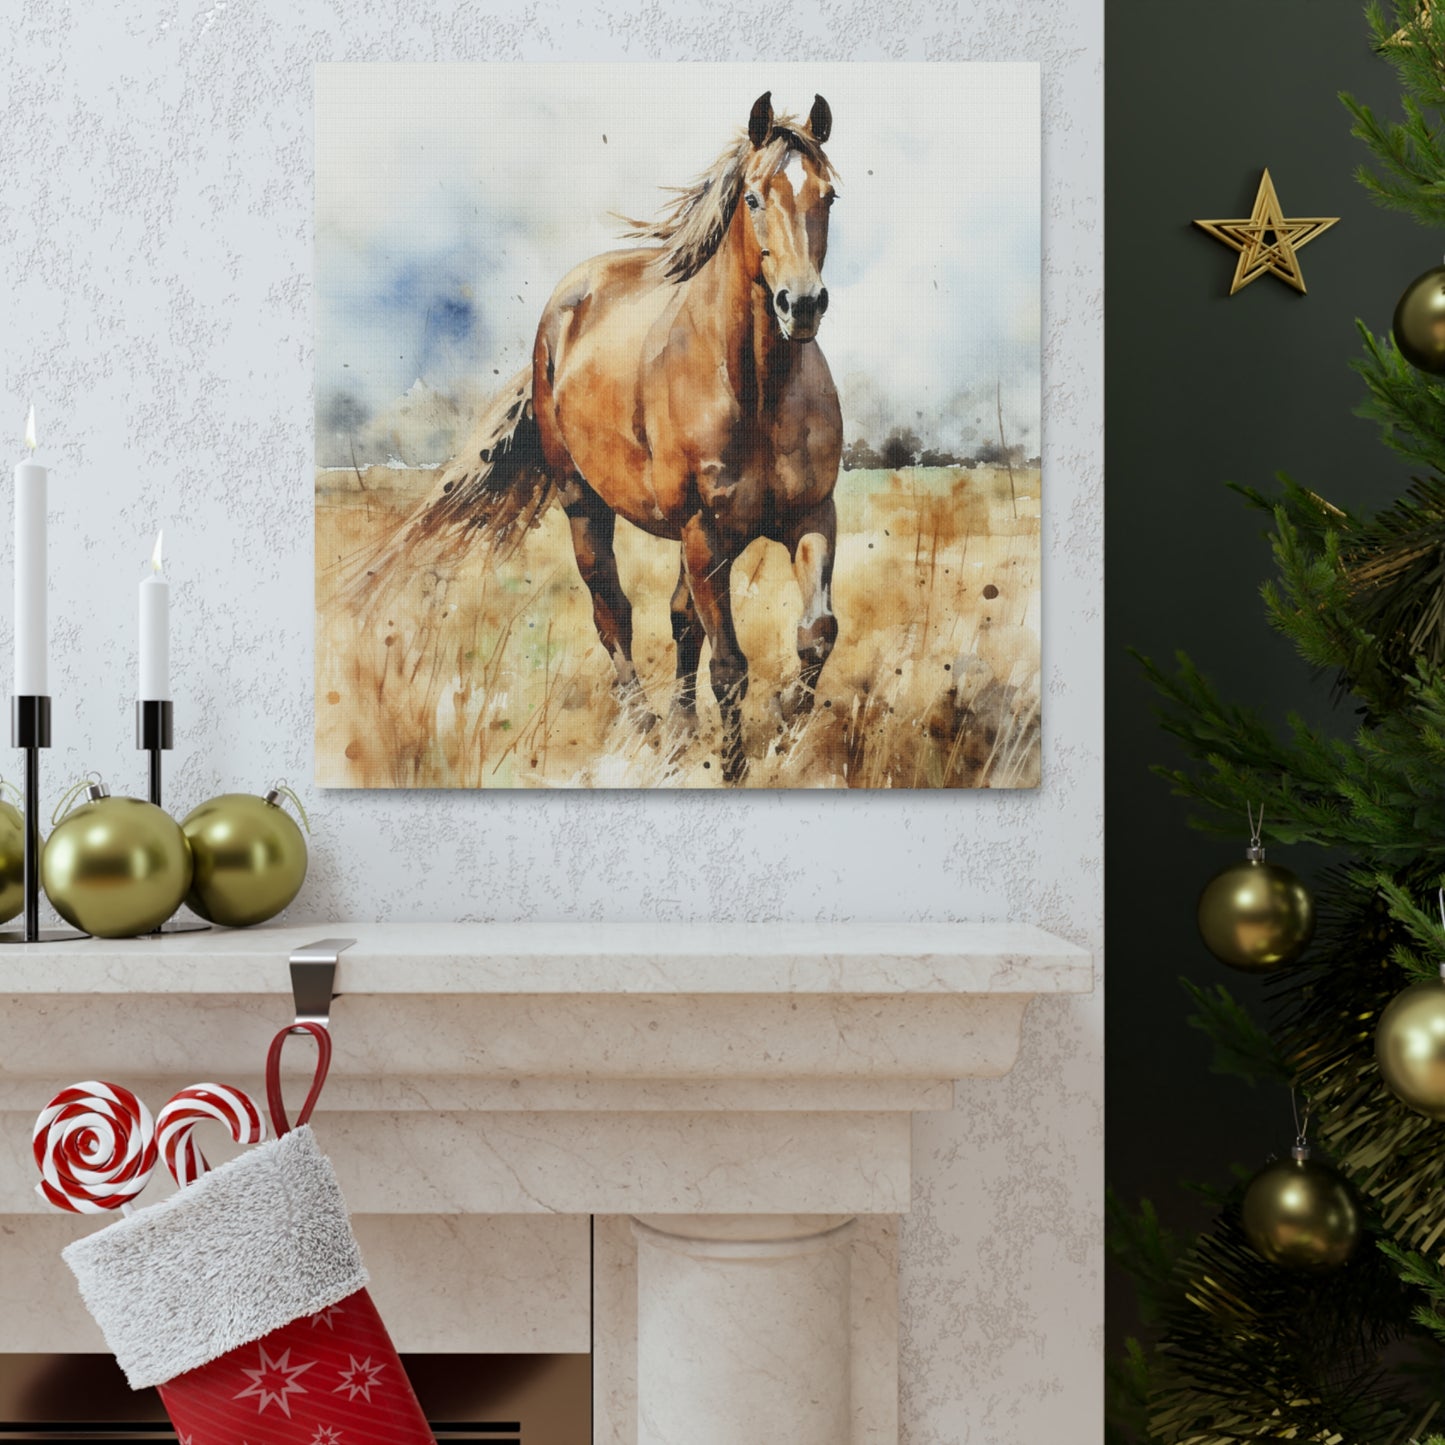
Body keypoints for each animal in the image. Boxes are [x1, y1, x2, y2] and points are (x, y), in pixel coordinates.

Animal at [356, 91, 843, 783]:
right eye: (752, 198)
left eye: (828, 195)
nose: (800, 305)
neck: (757, 388)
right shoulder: (705, 531)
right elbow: (729, 666)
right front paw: (734, 767)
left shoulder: (811, 516)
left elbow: (815, 633)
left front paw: (784, 734)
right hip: (584, 503)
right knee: (614, 613)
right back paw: (645, 729)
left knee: (680, 620)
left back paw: (677, 734)